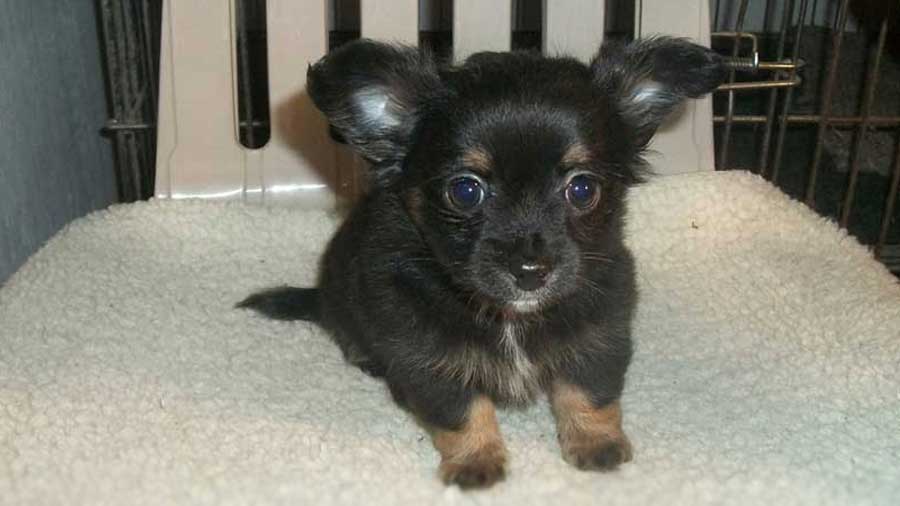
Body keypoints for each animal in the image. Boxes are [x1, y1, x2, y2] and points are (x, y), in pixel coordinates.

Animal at [241, 37, 724, 488]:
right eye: (465, 191)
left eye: (583, 189)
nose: (530, 271)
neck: (512, 316)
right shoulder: (427, 357)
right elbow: (461, 411)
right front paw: (476, 464)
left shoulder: (601, 332)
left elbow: (590, 392)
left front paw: (596, 445)